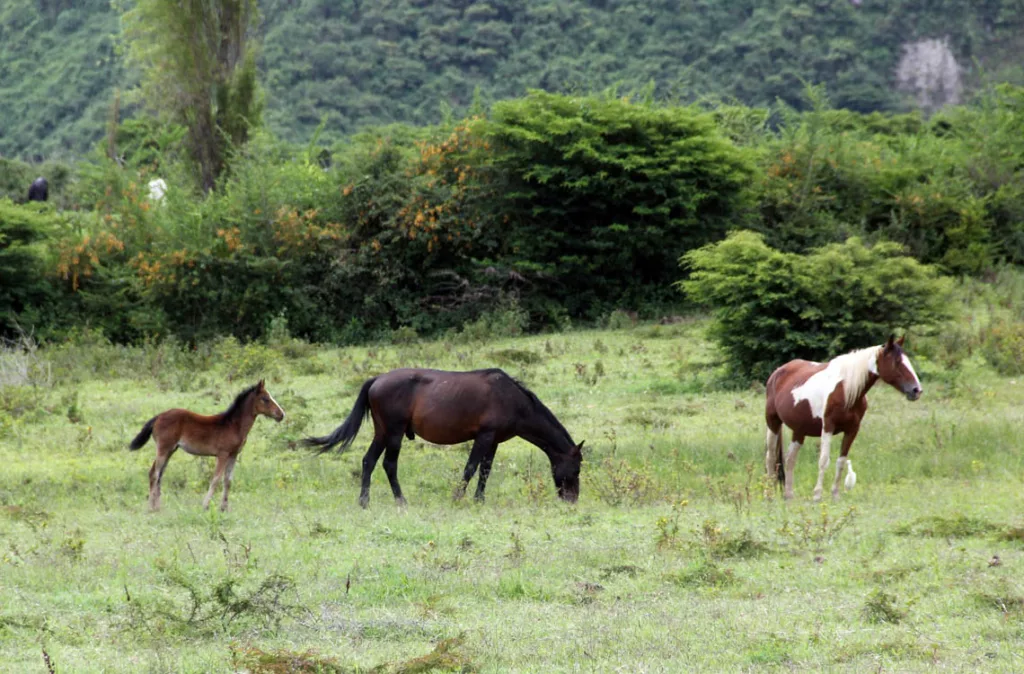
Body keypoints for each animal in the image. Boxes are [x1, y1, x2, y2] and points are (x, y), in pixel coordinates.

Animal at [128, 380, 285, 511]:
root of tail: (158, 417)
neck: (233, 425)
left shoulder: (233, 455)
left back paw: (157, 507)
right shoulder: (222, 454)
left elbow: (228, 481)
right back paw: (150, 507)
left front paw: (224, 508)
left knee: (159, 474)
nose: (281, 415)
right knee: (154, 474)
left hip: (171, 450)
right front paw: (205, 505)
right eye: (265, 399)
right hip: (163, 449)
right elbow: (215, 480)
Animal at [303, 368, 584, 508]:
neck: (512, 399)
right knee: (389, 464)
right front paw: (458, 498)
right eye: (577, 468)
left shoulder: (493, 441)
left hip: (382, 432)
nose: (572, 500)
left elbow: (485, 471)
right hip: (394, 432)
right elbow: (471, 468)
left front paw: (479, 500)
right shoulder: (484, 436)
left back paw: (364, 501)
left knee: (368, 461)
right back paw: (401, 501)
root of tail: (377, 380)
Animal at [764, 335, 922, 501]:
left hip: (799, 430)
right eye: (897, 362)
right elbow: (823, 460)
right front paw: (817, 495)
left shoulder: (852, 430)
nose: (916, 390)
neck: (846, 390)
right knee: (770, 457)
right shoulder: (828, 427)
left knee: (790, 459)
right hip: (773, 422)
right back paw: (768, 495)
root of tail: (778, 372)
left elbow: (841, 461)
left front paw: (835, 495)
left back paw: (788, 495)